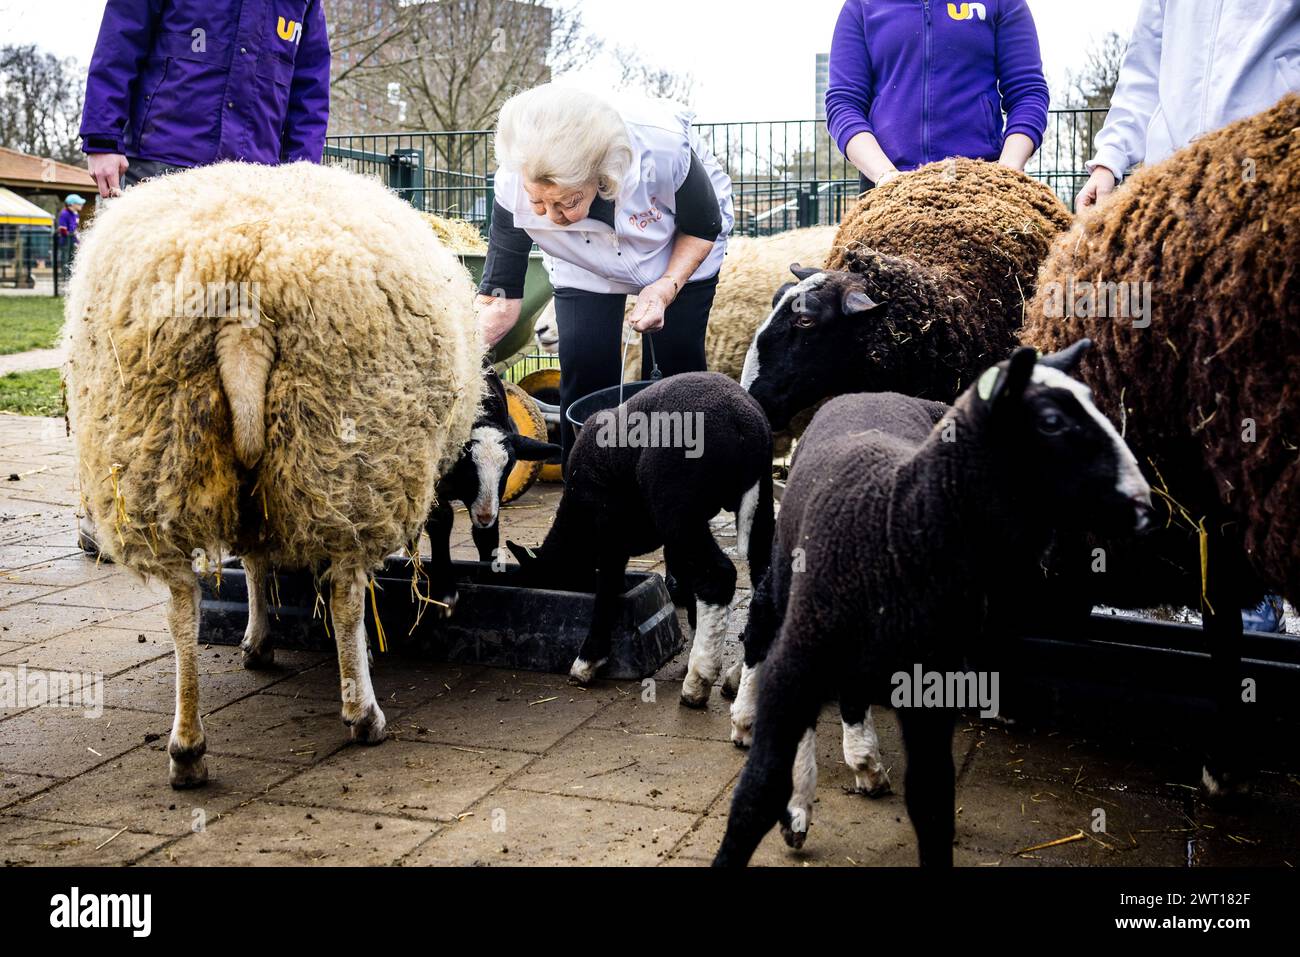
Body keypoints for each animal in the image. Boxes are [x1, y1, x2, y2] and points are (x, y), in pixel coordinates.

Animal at [64, 160, 483, 790]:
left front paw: (257, 641)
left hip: (157, 455)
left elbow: (257, 563)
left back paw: (187, 749)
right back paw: (363, 714)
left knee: (182, 604)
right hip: (346, 450)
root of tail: (245, 312)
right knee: (345, 591)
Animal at [717, 343, 1154, 868]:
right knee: (763, 624)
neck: (897, 518)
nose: (1144, 505)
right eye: (1051, 421)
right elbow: (758, 792)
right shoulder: (801, 660)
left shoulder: (930, 684)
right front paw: (793, 805)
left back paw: (863, 761)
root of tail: (870, 392)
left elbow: (931, 800)